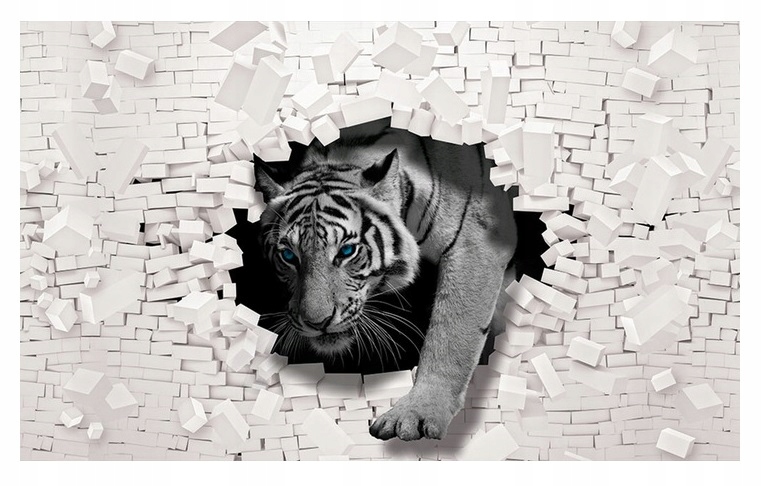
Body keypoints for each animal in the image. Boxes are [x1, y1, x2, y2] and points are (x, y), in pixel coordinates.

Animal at [254, 118, 517, 441]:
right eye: (289, 256)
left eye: (347, 251)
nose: (316, 323)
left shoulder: (477, 240)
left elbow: (451, 335)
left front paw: (418, 413)